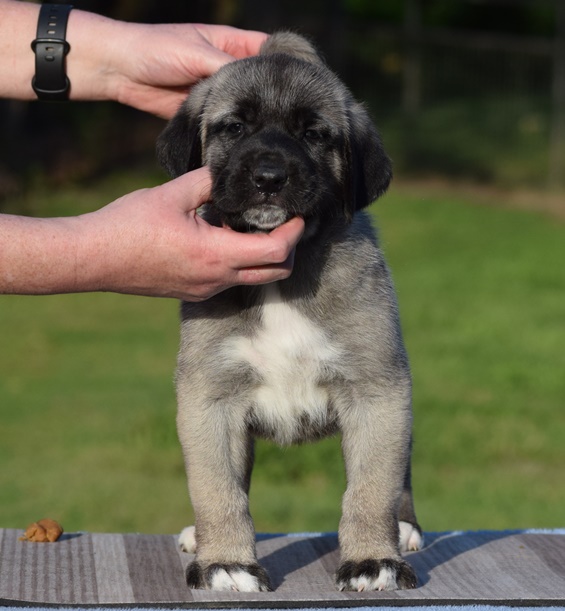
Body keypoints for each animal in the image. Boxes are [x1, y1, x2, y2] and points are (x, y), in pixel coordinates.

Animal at [157, 32, 423, 593]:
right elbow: (218, 491)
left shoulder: (378, 391)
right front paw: (225, 561)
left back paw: (405, 527)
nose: (269, 178)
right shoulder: (209, 399)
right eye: (234, 127)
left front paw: (372, 558)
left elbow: (370, 490)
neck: (282, 279)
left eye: (315, 134)